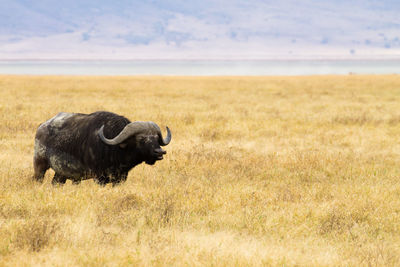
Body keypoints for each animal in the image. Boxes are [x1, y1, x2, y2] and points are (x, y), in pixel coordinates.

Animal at [33, 111, 171, 186]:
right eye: (142, 139)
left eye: (156, 138)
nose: (160, 152)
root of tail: (41, 128)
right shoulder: (100, 178)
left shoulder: (120, 179)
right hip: (39, 165)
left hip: (61, 173)